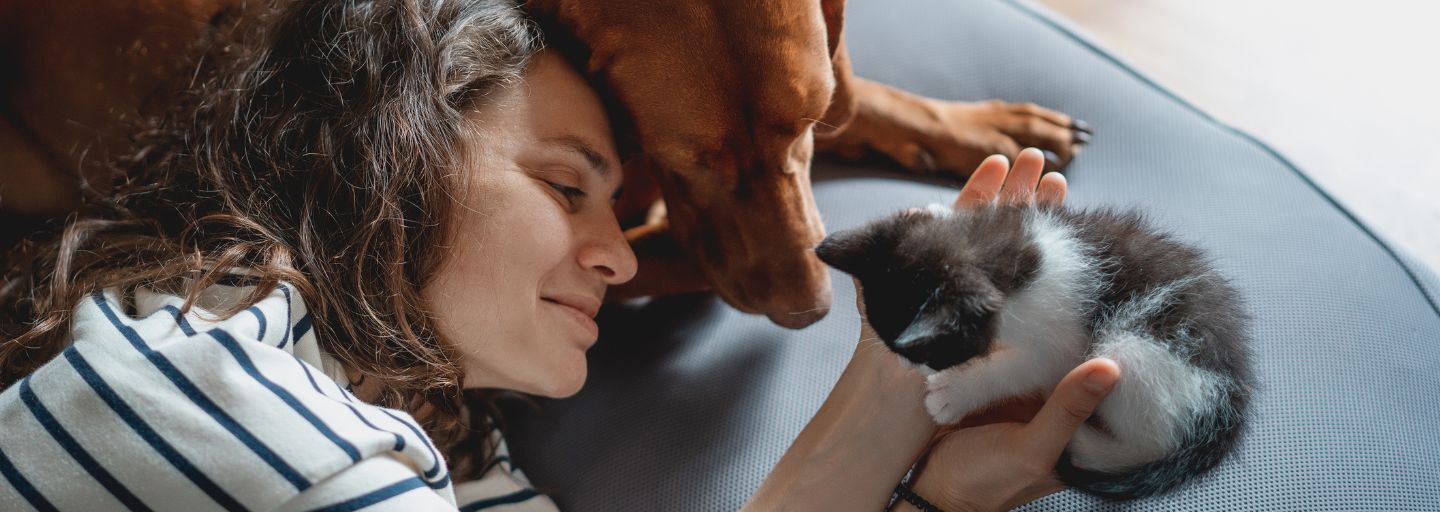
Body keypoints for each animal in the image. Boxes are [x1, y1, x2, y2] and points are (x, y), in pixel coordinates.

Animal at [817, 201, 1255, 497]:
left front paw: (954, 393)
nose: (910, 368)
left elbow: (1025, 368)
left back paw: (1085, 441)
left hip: (1137, 351)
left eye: (928, 353)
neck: (1010, 257)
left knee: (1147, 439)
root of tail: (1230, 408)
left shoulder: (1061, 340)